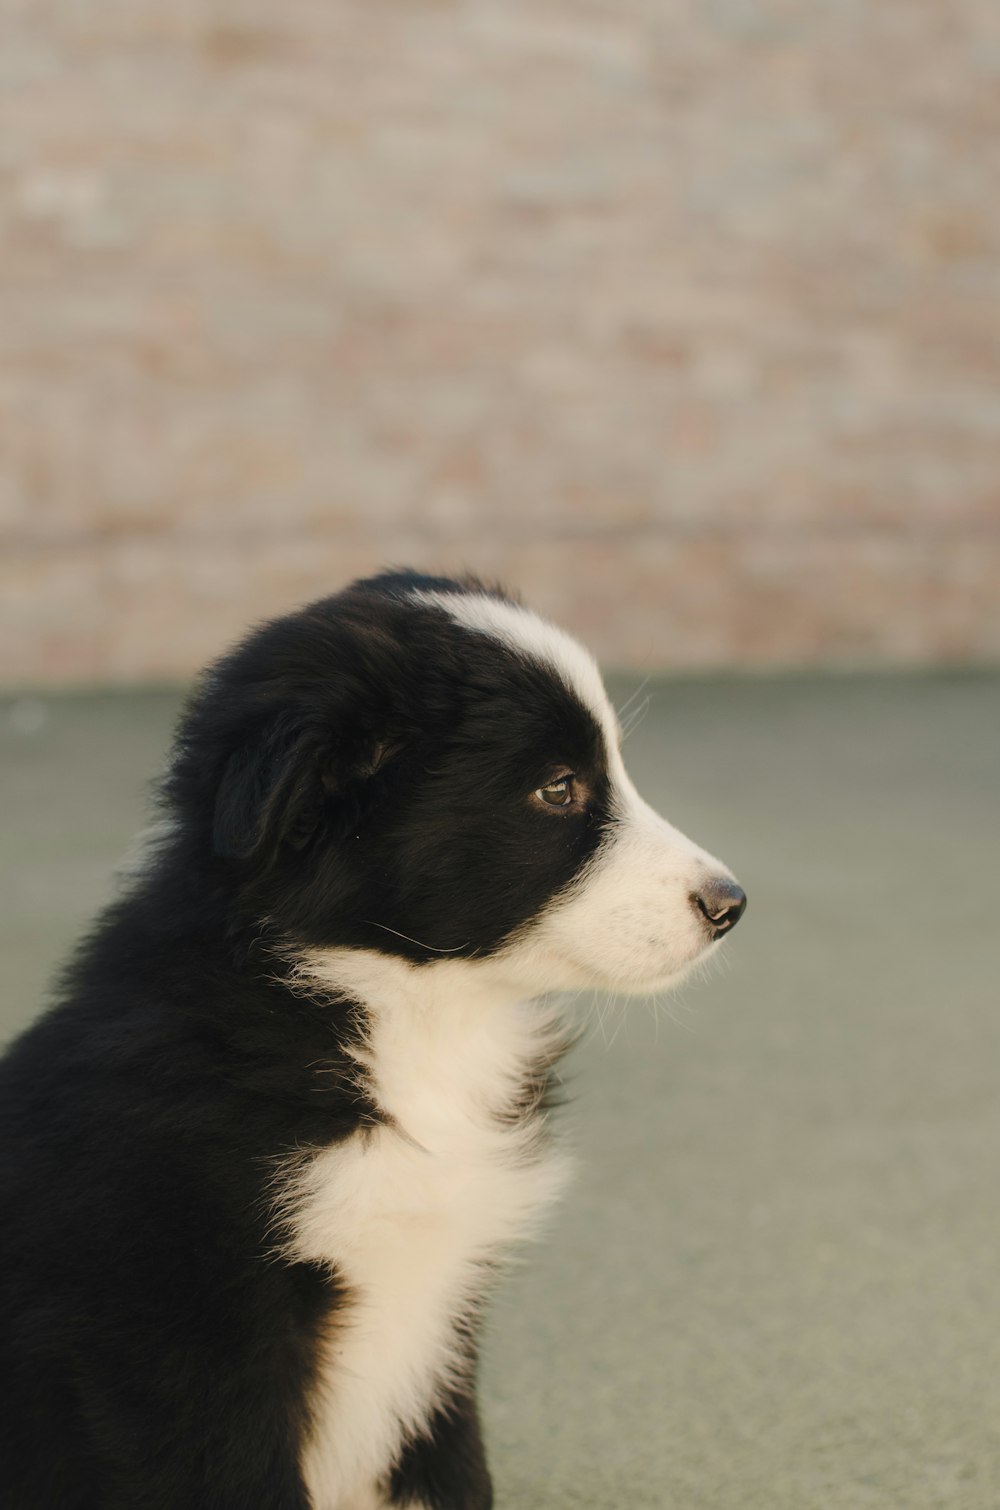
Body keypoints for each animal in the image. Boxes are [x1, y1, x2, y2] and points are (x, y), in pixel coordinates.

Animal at [0, 570, 749, 1503]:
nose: (729, 904)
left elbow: (455, 1478)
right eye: (558, 788)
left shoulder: (443, 1323)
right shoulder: (189, 1349)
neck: (408, 1021)